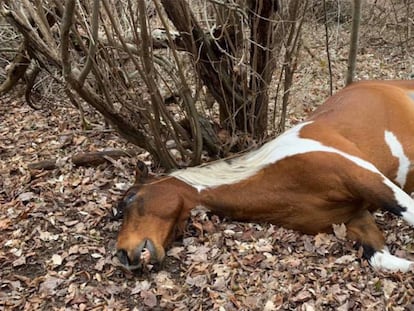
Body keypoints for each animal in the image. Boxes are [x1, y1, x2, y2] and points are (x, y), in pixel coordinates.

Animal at [115, 80, 414, 272]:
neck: (283, 175)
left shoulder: (367, 178)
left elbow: (407, 211)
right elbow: (384, 260)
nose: (122, 255)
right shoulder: (354, 218)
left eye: (130, 199)